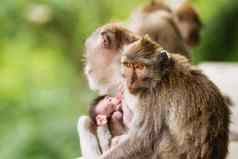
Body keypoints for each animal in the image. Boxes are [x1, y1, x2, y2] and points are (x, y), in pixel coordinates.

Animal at [94, 35, 229, 159]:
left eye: (140, 67)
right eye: (128, 65)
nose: (130, 81)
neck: (161, 75)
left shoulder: (151, 97)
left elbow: (141, 141)